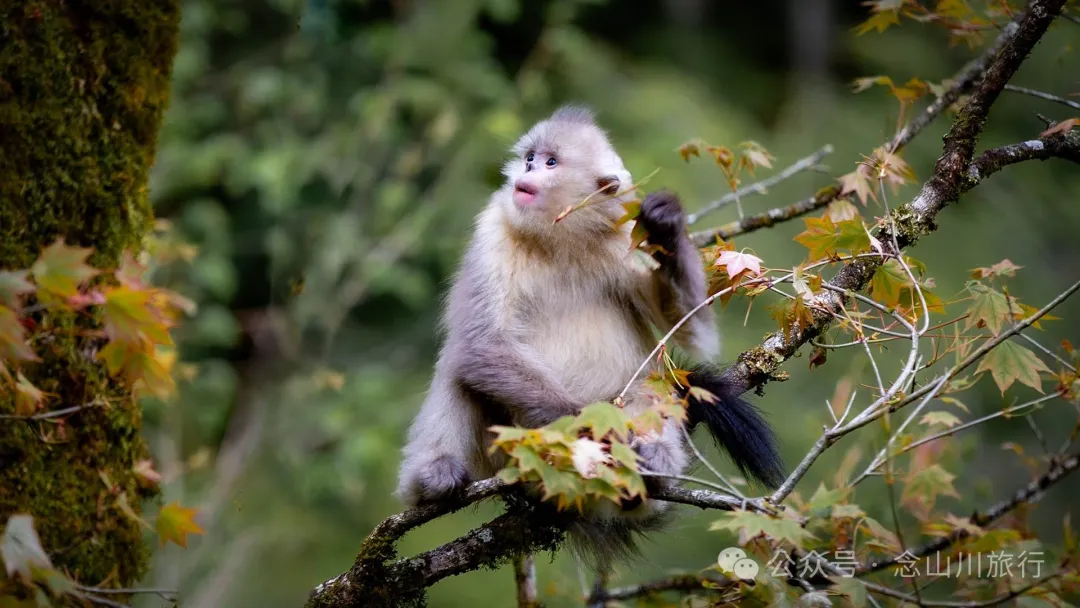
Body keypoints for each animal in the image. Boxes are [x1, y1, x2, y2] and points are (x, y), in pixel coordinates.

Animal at [395, 104, 785, 568]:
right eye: (530, 158)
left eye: (551, 162)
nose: (528, 172)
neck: (559, 238)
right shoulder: (493, 229)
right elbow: (481, 343)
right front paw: (598, 435)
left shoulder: (624, 237)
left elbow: (692, 330)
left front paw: (667, 224)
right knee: (461, 364)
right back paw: (433, 477)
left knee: (649, 385)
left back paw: (654, 466)